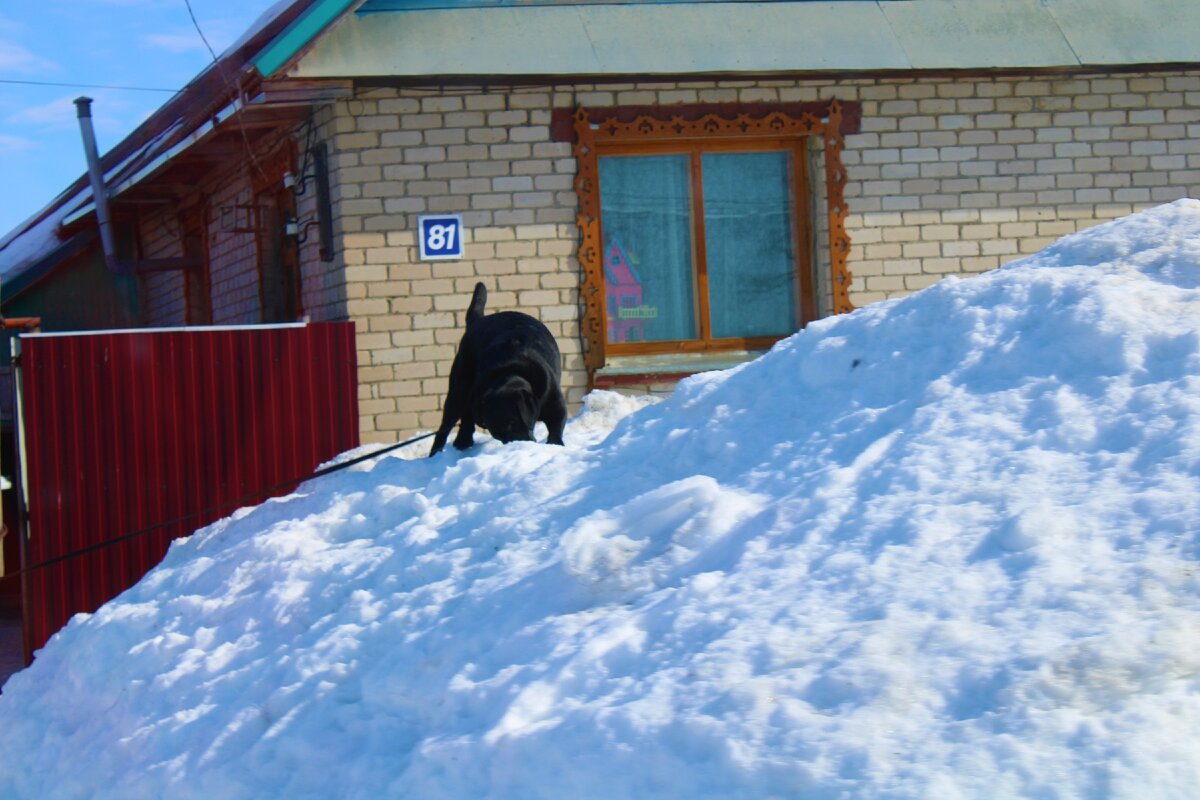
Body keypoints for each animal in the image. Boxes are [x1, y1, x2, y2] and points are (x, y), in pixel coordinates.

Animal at [427, 281, 566, 455]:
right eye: (498, 432)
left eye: (514, 421)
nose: (519, 444)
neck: (509, 371)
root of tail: (477, 321)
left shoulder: (554, 400)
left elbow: (557, 424)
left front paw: (556, 444)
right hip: (460, 387)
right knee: (448, 423)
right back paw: (446, 448)